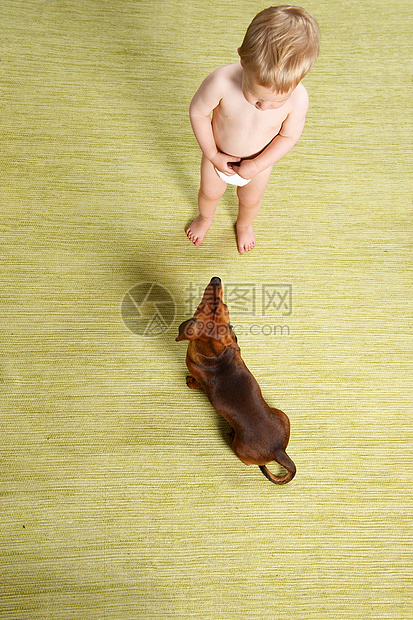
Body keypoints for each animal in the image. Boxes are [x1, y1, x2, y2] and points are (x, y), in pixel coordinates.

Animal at [175, 276, 294, 484]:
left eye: (221, 304)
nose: (216, 279)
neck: (215, 354)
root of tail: (278, 451)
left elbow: (194, 381)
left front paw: (189, 382)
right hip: (284, 416)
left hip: (239, 450)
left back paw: (230, 435)